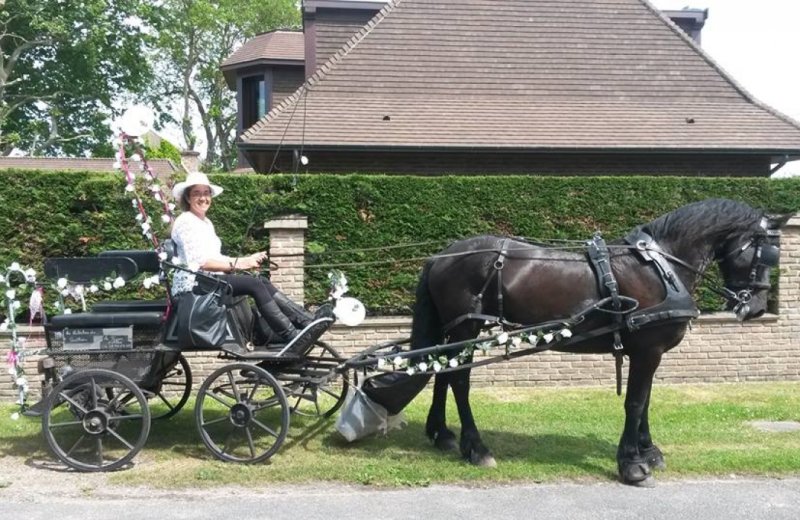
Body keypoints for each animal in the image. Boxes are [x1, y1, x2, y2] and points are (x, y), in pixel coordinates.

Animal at [386, 199, 788, 488]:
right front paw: (633, 465)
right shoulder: (647, 349)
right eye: (765, 252)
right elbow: (635, 402)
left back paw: (442, 434)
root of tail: (442, 254)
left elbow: (646, 401)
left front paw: (649, 451)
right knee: (459, 379)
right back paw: (477, 448)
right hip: (467, 326)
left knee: (443, 370)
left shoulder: (648, 353)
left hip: (456, 329)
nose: (754, 308)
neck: (661, 267)